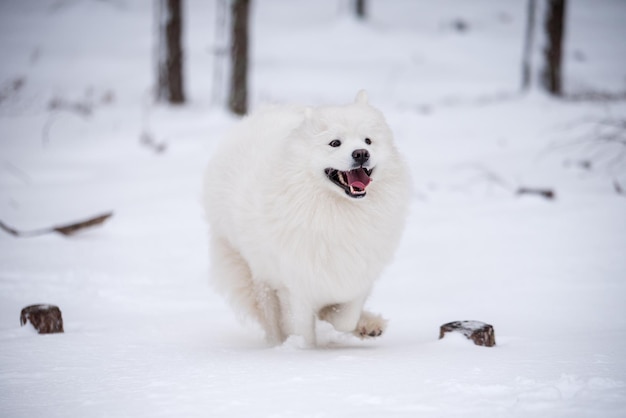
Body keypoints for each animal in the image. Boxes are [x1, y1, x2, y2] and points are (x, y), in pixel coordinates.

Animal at [204, 91, 410, 346]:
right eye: (335, 143)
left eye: (368, 141)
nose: (361, 153)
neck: (339, 212)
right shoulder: (294, 285)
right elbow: (302, 328)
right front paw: (302, 350)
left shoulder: (358, 272)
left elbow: (346, 317)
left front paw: (342, 317)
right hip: (254, 271)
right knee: (269, 315)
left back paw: (368, 324)